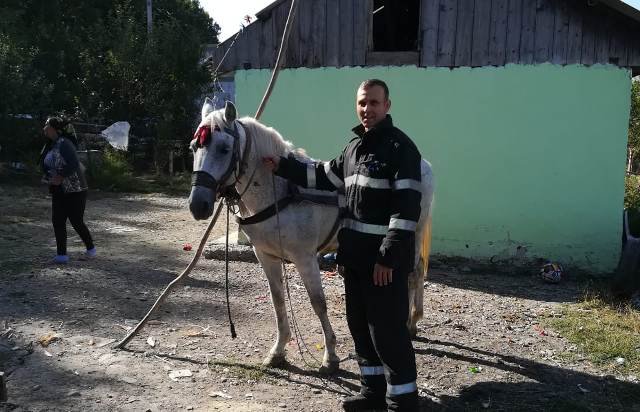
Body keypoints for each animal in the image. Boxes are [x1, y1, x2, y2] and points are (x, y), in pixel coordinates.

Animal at [188, 100, 432, 374]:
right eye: (194, 147)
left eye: (224, 148)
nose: (198, 205)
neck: (280, 192)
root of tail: (424, 164)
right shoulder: (266, 256)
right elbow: (277, 300)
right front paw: (278, 351)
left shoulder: (305, 259)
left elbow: (318, 303)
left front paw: (330, 356)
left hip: (411, 234)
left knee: (412, 274)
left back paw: (410, 324)